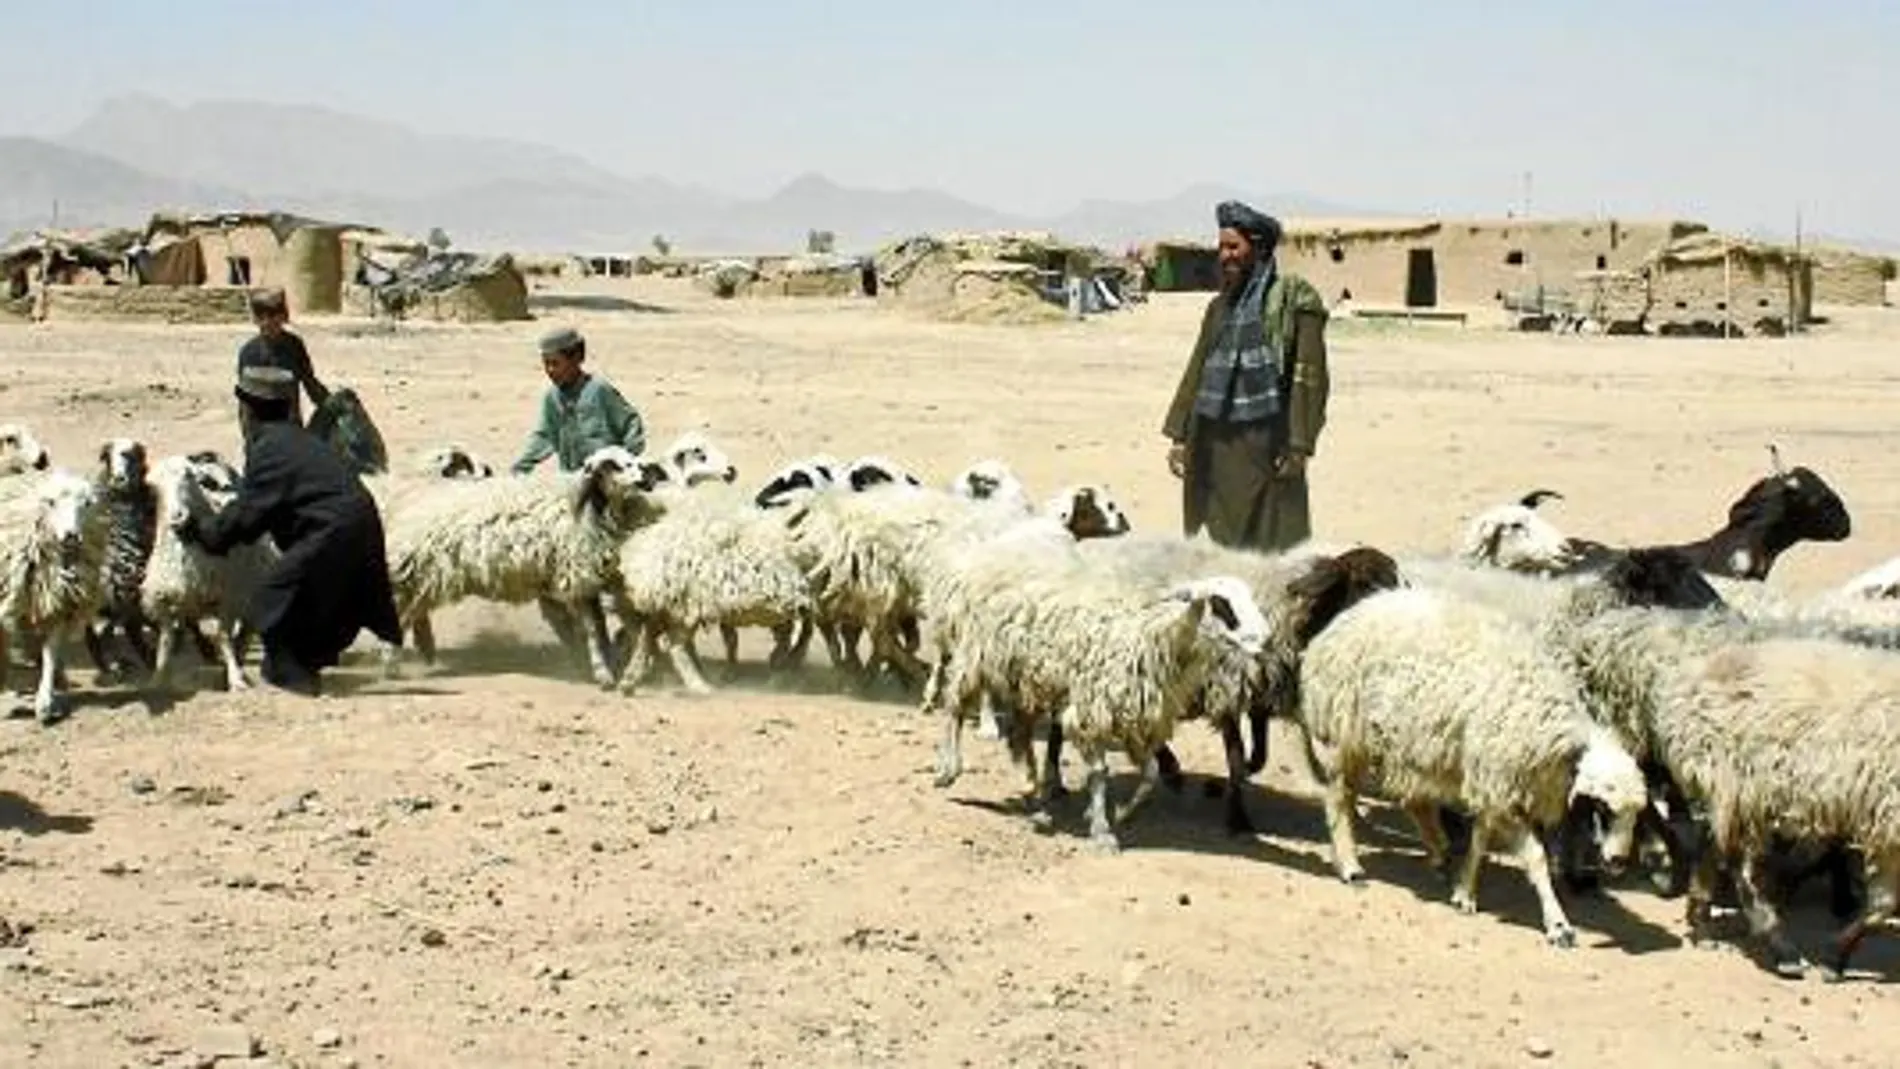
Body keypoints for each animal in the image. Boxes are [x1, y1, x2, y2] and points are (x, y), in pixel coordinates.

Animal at [0, 472, 111, 725]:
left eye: (87, 504)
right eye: (51, 503)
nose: (72, 536)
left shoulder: (59, 606)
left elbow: (50, 652)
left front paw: (45, 703)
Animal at [138, 451, 277, 694]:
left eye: (188, 476)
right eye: (154, 487)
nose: (178, 516)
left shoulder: (226, 600)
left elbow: (224, 638)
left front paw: (235, 679)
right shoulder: (162, 599)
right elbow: (166, 640)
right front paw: (158, 678)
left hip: (252, 594)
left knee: (245, 634)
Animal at [376, 444, 668, 687]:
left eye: (633, 461)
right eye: (614, 465)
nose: (644, 479)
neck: (595, 508)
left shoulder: (587, 580)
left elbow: (607, 627)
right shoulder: (576, 577)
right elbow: (594, 630)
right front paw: (604, 673)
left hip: (422, 579)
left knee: (413, 614)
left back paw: (420, 652)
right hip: (417, 574)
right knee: (402, 615)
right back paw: (391, 665)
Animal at [1292, 581, 1649, 949]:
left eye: (1637, 814)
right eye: (1603, 808)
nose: (1618, 861)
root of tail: (1339, 623)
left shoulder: (1493, 781)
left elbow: (1480, 837)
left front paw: (1465, 891)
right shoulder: (1502, 785)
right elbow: (1535, 858)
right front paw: (1558, 925)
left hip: (1405, 744)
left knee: (1412, 800)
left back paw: (1439, 852)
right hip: (1344, 733)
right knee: (1339, 798)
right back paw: (1351, 866)